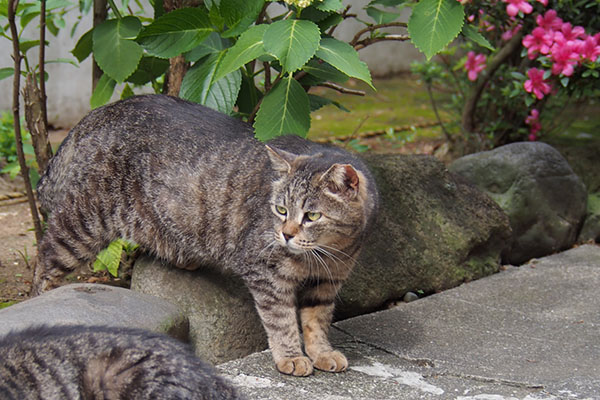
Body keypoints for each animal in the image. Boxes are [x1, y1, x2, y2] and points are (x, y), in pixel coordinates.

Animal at [30, 95, 378, 376]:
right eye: (280, 210)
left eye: (312, 216)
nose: (286, 235)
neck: (327, 252)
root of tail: (98, 113)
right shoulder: (266, 273)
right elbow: (281, 319)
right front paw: (291, 356)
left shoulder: (327, 281)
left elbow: (316, 320)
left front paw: (322, 352)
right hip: (83, 223)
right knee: (44, 262)